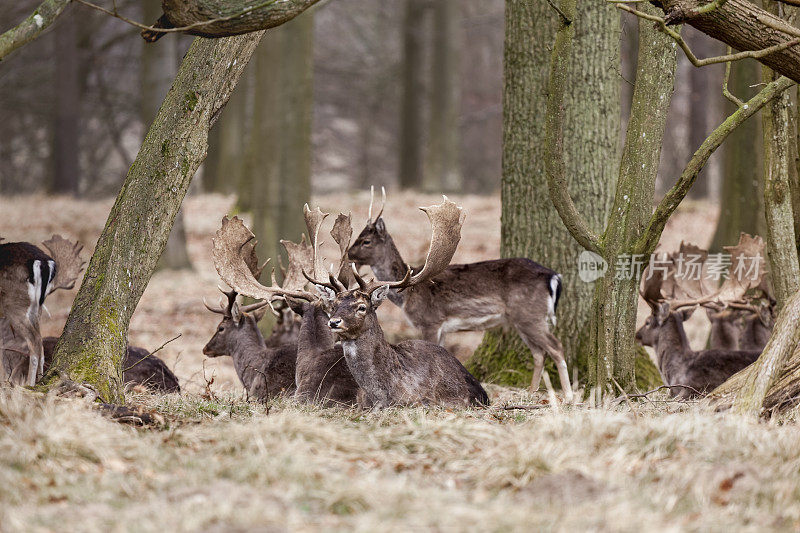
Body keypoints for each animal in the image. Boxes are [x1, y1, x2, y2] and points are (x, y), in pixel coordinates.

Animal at [0, 235, 84, 384]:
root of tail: (43, 263)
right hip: (35, 307)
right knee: (40, 342)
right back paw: (39, 378)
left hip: (14, 303)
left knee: (34, 342)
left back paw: (29, 383)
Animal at [346, 189, 572, 402]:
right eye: (358, 236)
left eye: (366, 241)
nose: (348, 254)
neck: (407, 295)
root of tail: (554, 276)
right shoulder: (443, 328)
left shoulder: (430, 321)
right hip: (522, 319)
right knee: (539, 353)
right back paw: (532, 392)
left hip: (529, 315)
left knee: (556, 347)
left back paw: (568, 395)